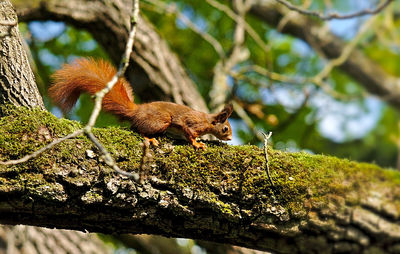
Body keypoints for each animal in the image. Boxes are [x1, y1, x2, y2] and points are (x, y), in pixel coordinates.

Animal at [48, 57, 233, 150]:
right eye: (225, 128)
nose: (230, 138)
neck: (207, 121)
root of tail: (136, 111)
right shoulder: (193, 124)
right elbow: (189, 133)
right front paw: (197, 143)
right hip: (161, 120)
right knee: (138, 129)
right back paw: (149, 138)